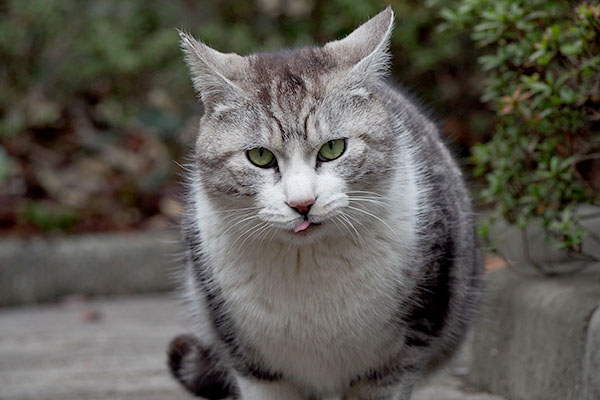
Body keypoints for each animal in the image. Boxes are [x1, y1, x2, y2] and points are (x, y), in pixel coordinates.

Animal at [168, 6, 482, 400]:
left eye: (333, 148)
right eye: (260, 156)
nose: (302, 203)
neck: (307, 266)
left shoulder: (397, 360)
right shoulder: (252, 364)